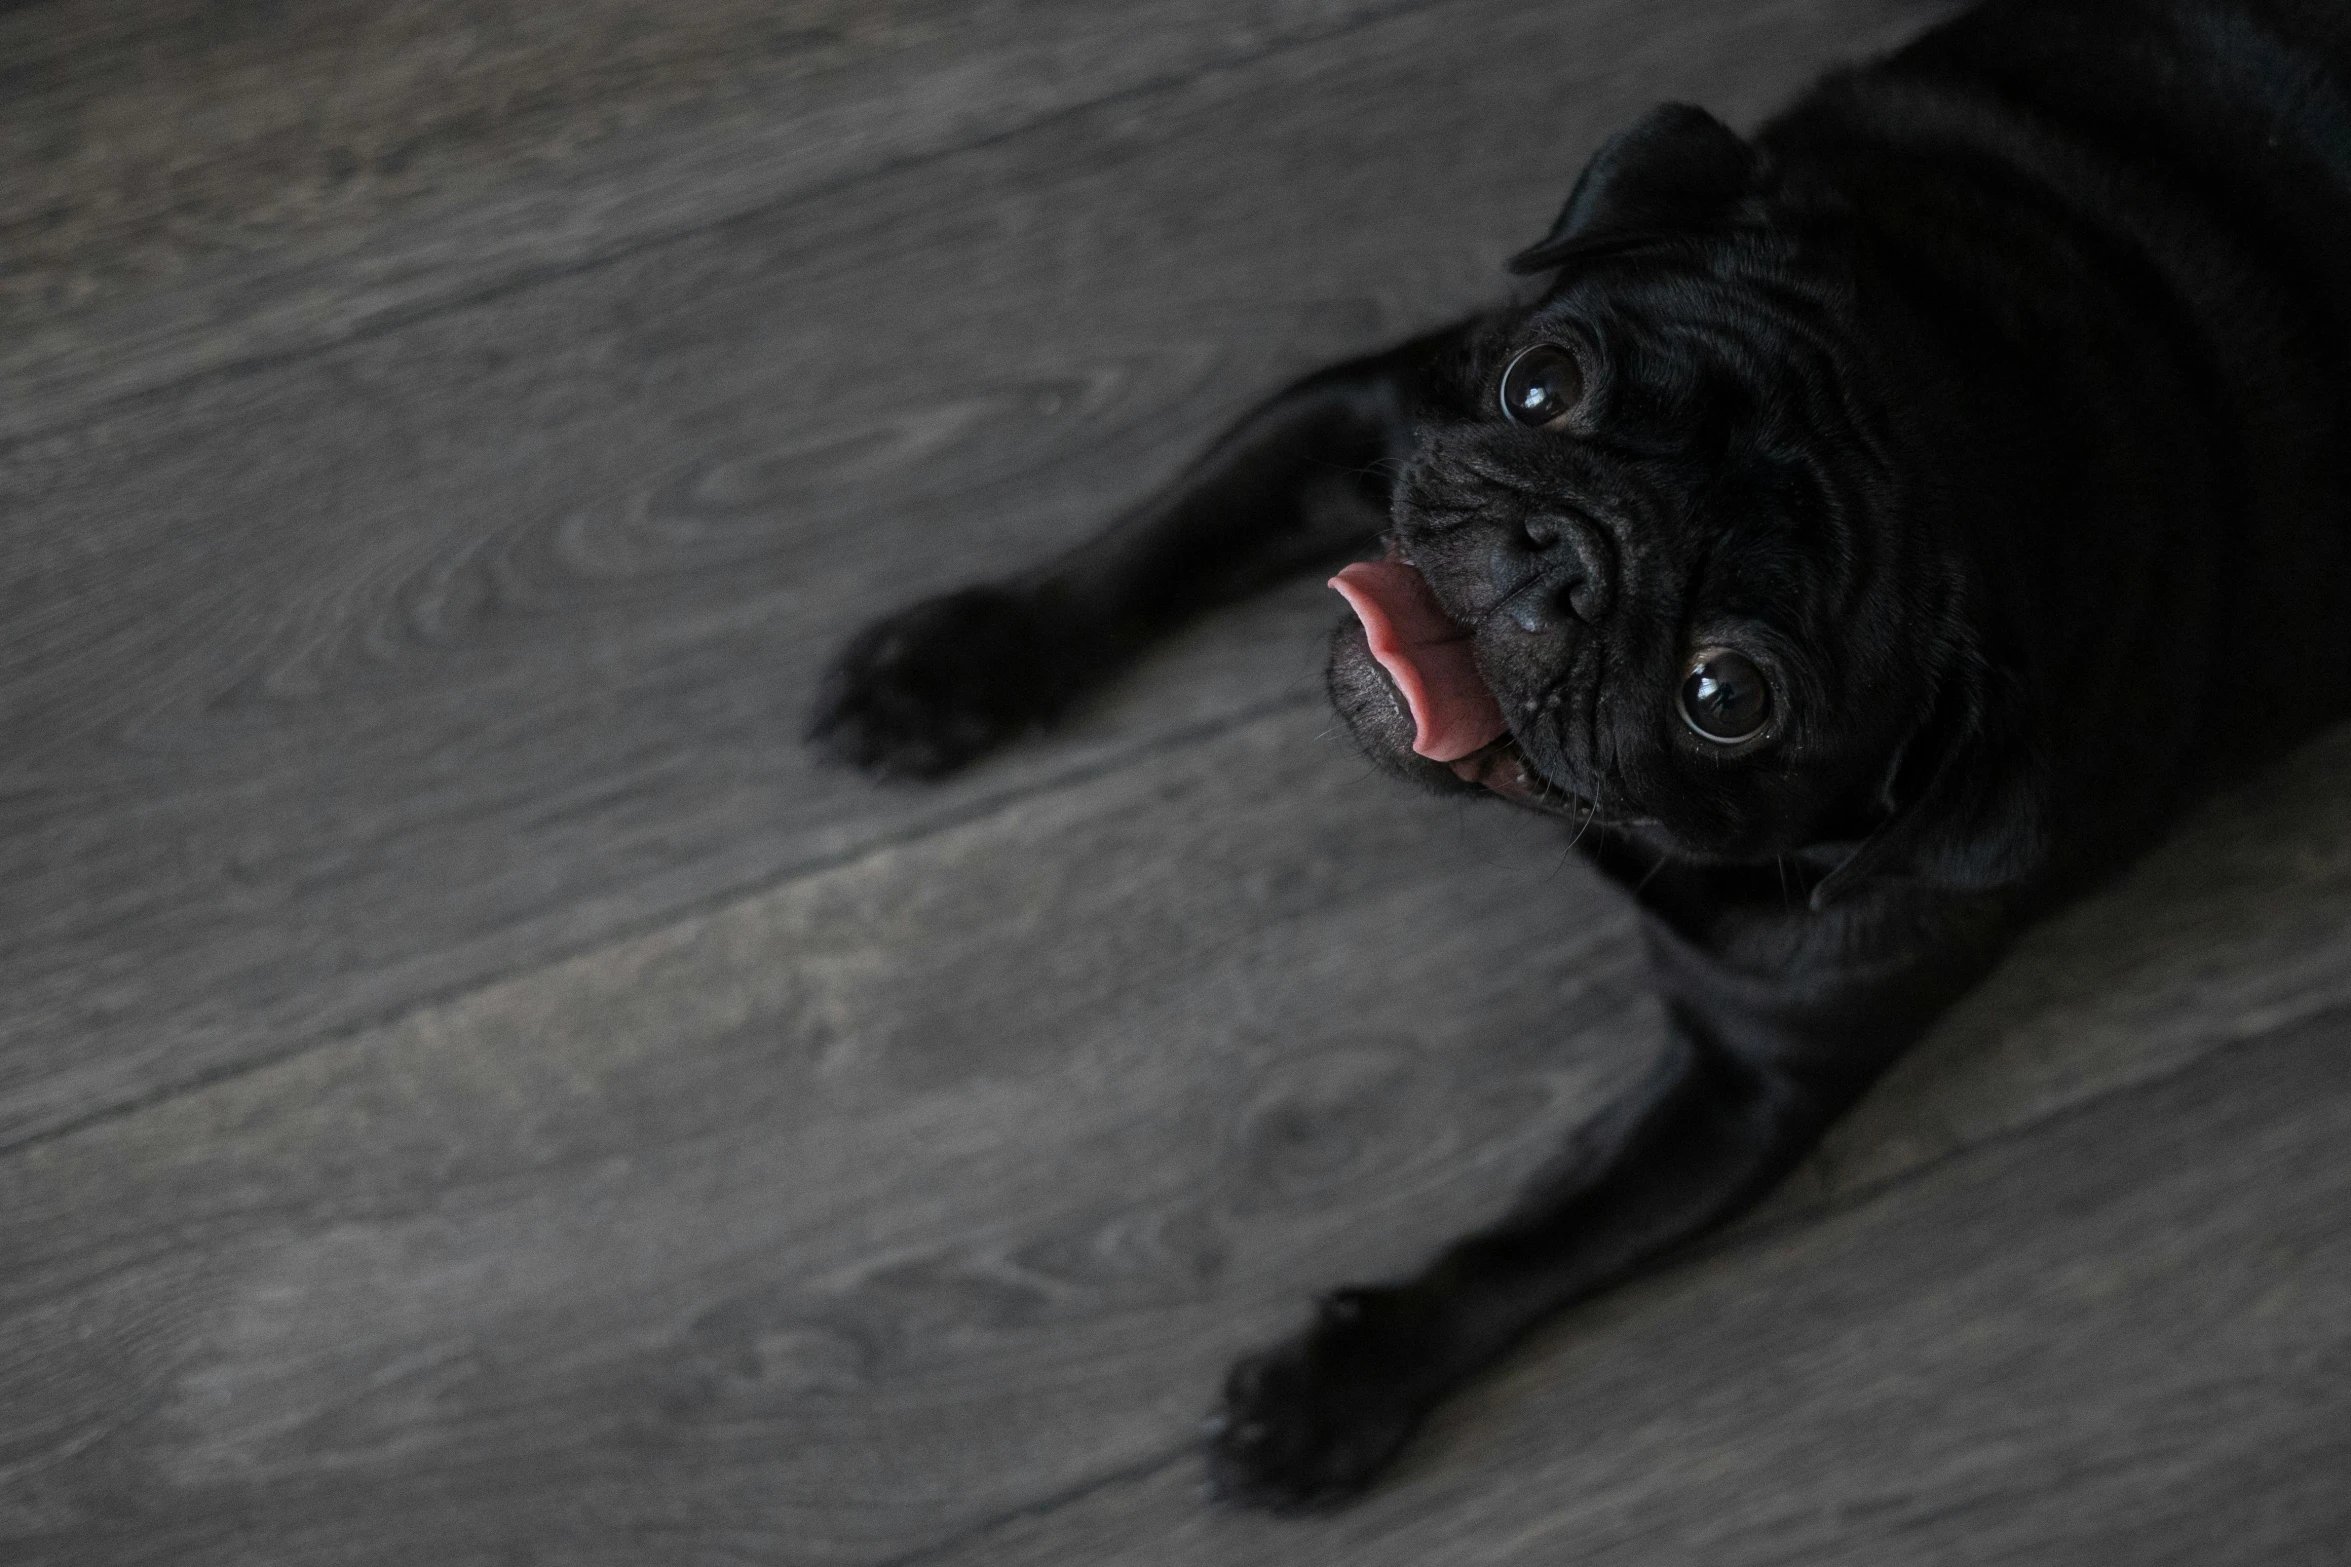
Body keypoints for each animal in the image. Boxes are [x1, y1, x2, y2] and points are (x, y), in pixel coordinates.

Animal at [813, 0, 2351, 1522]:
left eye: (1725, 694)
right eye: (1539, 383)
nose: (1570, 557)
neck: (1981, 399)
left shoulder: (1749, 1082)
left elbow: (1524, 1253)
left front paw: (1337, 1389)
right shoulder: (1366, 413)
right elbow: (1156, 542)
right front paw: (962, 661)